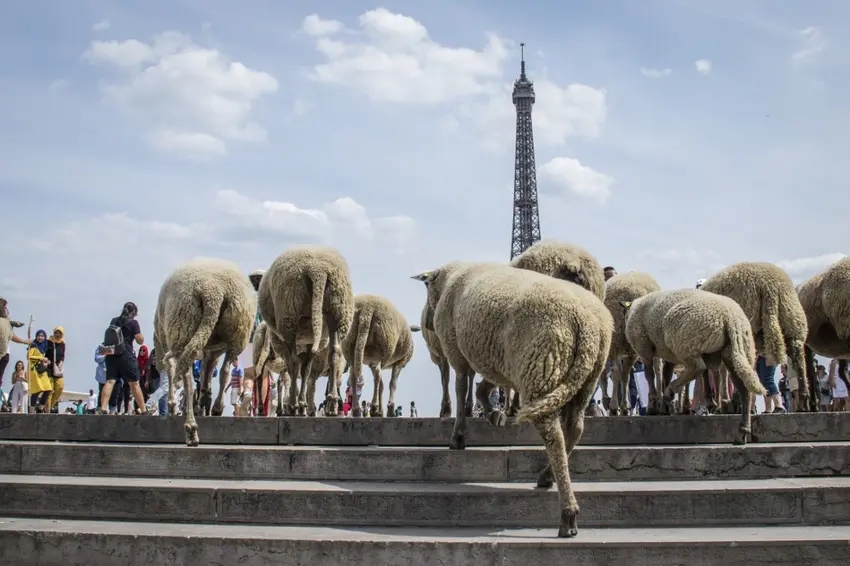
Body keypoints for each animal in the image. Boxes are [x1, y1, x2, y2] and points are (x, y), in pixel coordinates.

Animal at [154, 257, 256, 446]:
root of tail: (213, 292)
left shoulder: (164, 341)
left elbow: (171, 368)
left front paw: (173, 405)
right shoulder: (212, 348)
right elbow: (207, 370)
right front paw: (204, 399)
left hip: (182, 325)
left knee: (186, 375)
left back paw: (191, 429)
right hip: (236, 333)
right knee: (225, 371)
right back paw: (215, 408)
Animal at [257, 245, 354, 416]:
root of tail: (318, 270)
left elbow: (295, 369)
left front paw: (297, 404)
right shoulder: (309, 338)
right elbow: (306, 371)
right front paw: (302, 404)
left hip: (289, 316)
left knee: (293, 363)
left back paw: (292, 406)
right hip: (337, 308)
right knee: (334, 352)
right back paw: (331, 403)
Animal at [412, 261, 612, 538]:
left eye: (425, 286)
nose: (427, 324)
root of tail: (585, 321)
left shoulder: (458, 350)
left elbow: (462, 387)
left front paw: (458, 436)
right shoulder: (492, 355)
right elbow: (486, 386)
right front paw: (492, 414)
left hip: (543, 363)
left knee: (554, 435)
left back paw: (567, 514)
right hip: (586, 377)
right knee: (574, 428)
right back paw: (546, 476)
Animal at [602, 272, 662, 416]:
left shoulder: (619, 348)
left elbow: (618, 375)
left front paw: (615, 406)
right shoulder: (629, 352)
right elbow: (624, 377)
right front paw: (623, 406)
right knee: (658, 369)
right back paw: (659, 402)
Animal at [621, 289, 767, 444]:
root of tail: (730, 318)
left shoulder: (644, 346)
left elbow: (650, 375)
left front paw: (653, 405)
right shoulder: (671, 354)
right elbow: (668, 374)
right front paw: (664, 408)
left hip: (684, 341)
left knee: (698, 367)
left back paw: (670, 392)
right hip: (733, 351)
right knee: (743, 388)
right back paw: (742, 431)